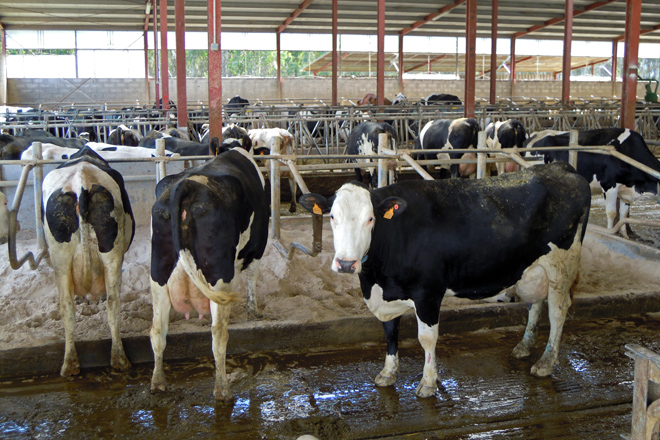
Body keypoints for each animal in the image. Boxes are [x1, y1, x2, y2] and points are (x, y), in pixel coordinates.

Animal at [149, 139, 270, 401]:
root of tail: (184, 186)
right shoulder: (258, 247)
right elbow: (252, 277)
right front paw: (252, 311)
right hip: (218, 273)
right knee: (218, 334)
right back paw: (222, 390)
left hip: (159, 270)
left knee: (157, 329)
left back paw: (158, 383)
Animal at [299, 162, 591, 398]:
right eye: (332, 217)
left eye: (370, 219)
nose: (346, 263)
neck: (376, 279)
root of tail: (561, 167)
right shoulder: (387, 293)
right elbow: (390, 331)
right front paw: (388, 373)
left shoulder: (427, 293)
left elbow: (427, 338)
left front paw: (428, 383)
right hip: (533, 268)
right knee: (535, 304)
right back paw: (525, 345)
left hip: (562, 265)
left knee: (557, 311)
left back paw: (545, 362)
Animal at [524, 128, 660, 238]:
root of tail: (535, 134)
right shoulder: (608, 185)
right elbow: (611, 213)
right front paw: (609, 233)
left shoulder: (626, 191)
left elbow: (623, 215)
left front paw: (625, 236)